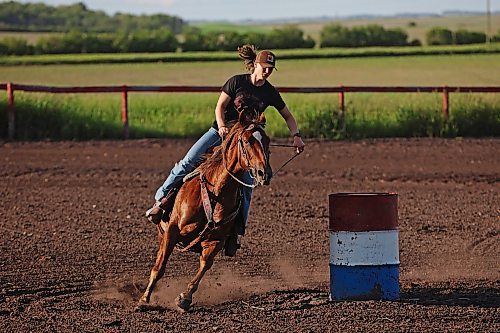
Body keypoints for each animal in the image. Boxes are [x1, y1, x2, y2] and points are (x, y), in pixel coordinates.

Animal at [137, 107, 270, 310]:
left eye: (268, 141)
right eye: (247, 141)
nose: (265, 173)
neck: (216, 191)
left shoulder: (216, 240)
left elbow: (205, 265)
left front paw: (184, 297)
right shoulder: (172, 230)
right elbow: (160, 267)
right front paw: (144, 300)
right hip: (163, 231)